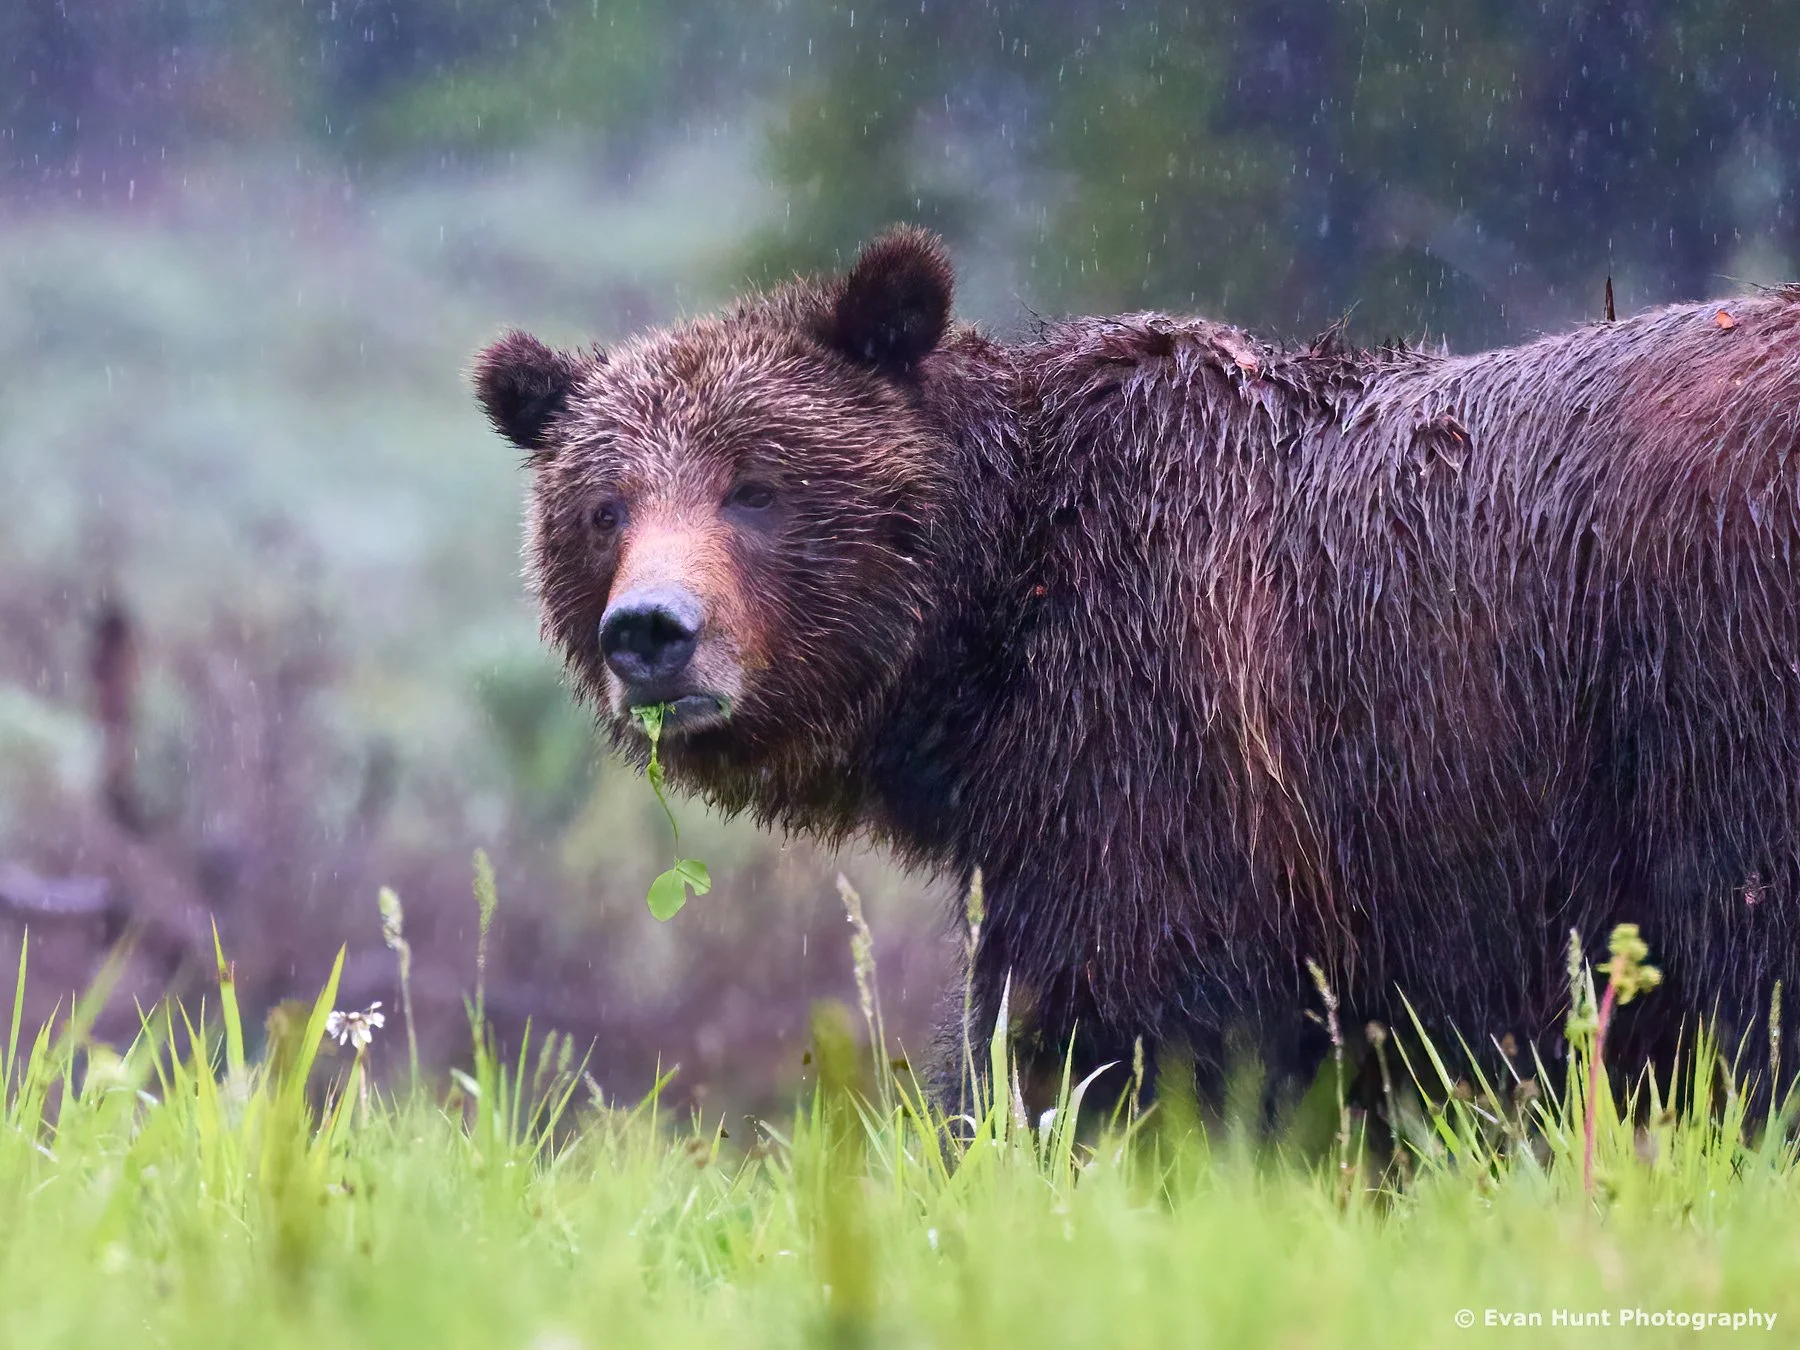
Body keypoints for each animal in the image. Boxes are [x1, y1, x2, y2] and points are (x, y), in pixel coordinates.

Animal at [473, 226, 1800, 1116]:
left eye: (756, 487)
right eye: (603, 508)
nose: (651, 632)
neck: (987, 626)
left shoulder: (1157, 744)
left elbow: (1095, 1021)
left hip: (1709, 671)